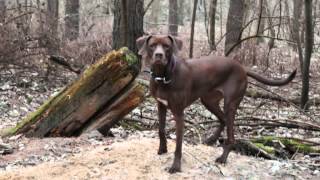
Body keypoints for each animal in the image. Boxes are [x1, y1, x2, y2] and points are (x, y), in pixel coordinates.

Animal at [136, 34, 296, 174]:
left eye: (167, 46)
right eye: (152, 45)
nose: (159, 55)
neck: (163, 77)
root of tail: (242, 68)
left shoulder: (179, 113)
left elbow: (178, 145)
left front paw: (176, 166)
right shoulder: (161, 105)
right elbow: (161, 130)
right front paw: (162, 150)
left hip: (230, 103)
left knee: (231, 136)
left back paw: (222, 158)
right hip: (209, 100)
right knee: (222, 119)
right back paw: (211, 139)